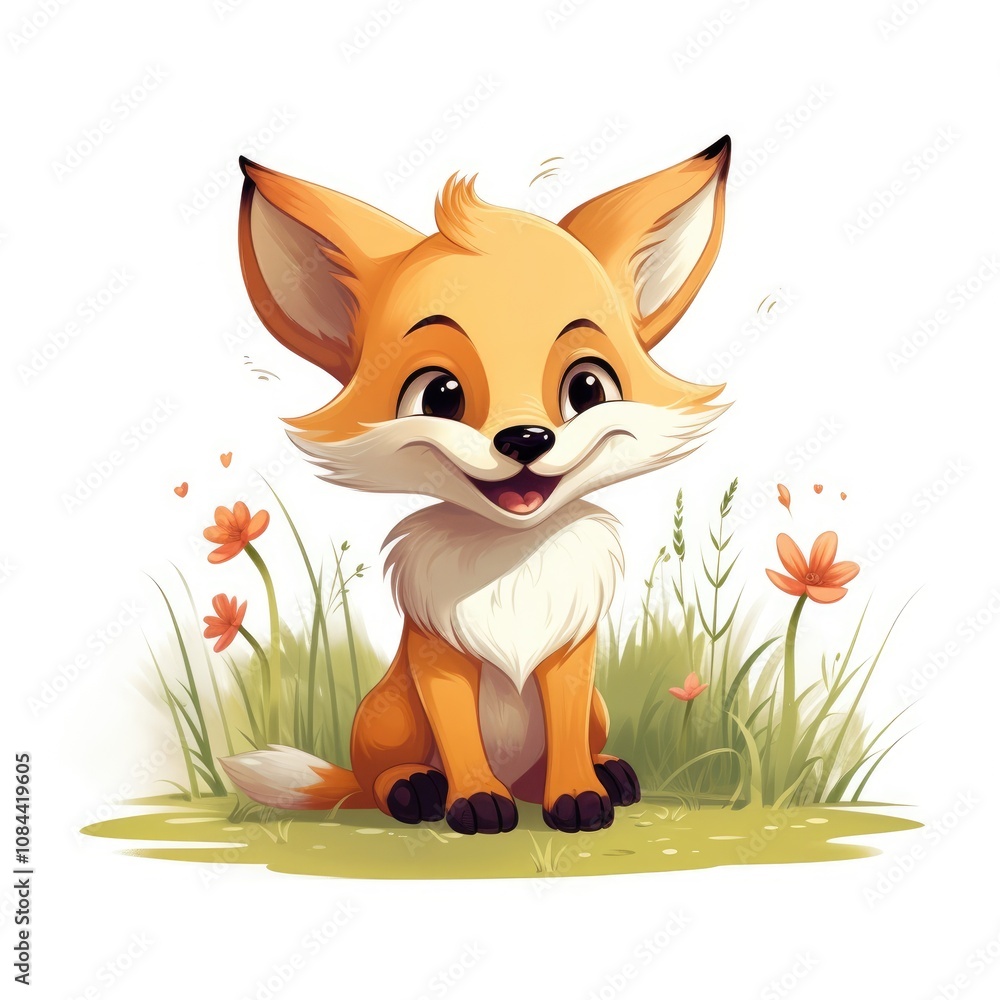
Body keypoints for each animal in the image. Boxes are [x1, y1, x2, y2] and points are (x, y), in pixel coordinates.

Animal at [219, 136, 731, 834]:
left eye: (588, 388)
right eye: (439, 395)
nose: (526, 439)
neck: (510, 562)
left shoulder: (571, 654)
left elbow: (566, 730)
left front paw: (578, 796)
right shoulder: (439, 655)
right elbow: (459, 731)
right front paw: (474, 801)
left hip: (595, 708)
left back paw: (605, 775)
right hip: (388, 713)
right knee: (373, 779)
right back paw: (416, 788)